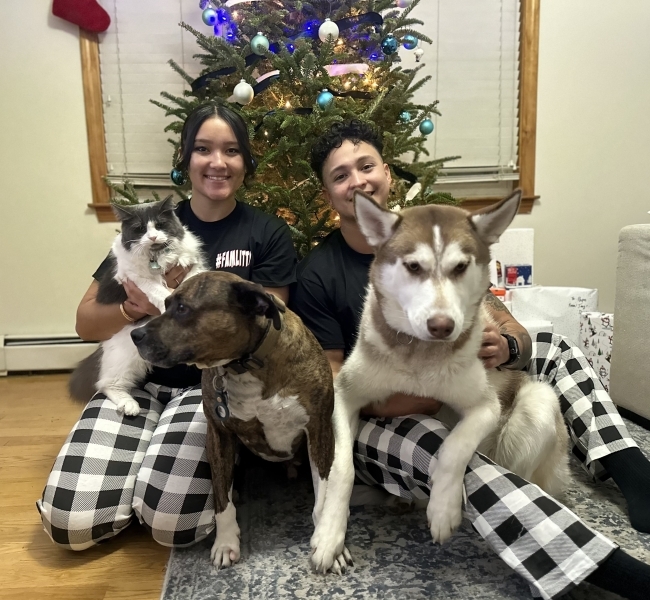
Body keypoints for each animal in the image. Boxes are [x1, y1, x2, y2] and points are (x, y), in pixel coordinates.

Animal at [69, 198, 204, 418]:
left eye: (159, 225)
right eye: (140, 229)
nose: (153, 236)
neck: (157, 257)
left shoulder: (192, 267)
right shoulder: (135, 278)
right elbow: (162, 294)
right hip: (126, 359)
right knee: (106, 384)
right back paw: (129, 405)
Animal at [131, 270, 352, 572]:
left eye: (183, 308)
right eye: (165, 305)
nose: (135, 334)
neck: (246, 364)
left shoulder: (318, 430)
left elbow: (324, 494)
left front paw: (328, 543)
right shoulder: (219, 435)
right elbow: (221, 498)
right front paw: (226, 542)